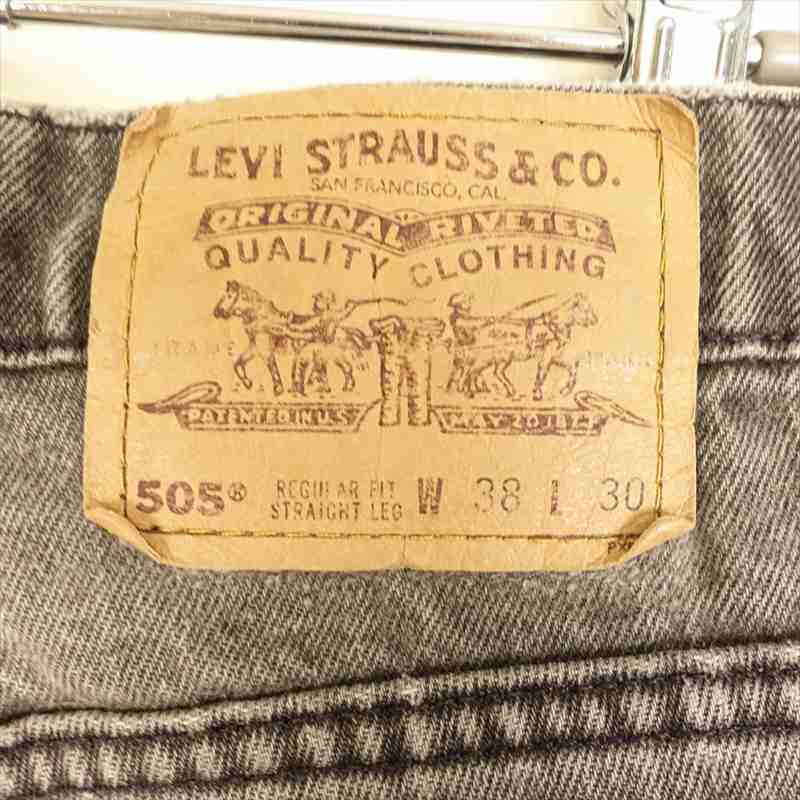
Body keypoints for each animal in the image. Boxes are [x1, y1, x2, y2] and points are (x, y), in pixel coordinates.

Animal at [452, 293, 598, 400]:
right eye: (585, 309)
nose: (595, 320)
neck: (554, 327)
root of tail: (477, 331)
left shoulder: (554, 356)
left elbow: (572, 368)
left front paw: (565, 390)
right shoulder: (546, 356)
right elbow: (542, 373)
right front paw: (537, 394)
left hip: (502, 359)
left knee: (493, 372)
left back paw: (508, 391)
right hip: (488, 358)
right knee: (471, 371)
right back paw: (467, 391)